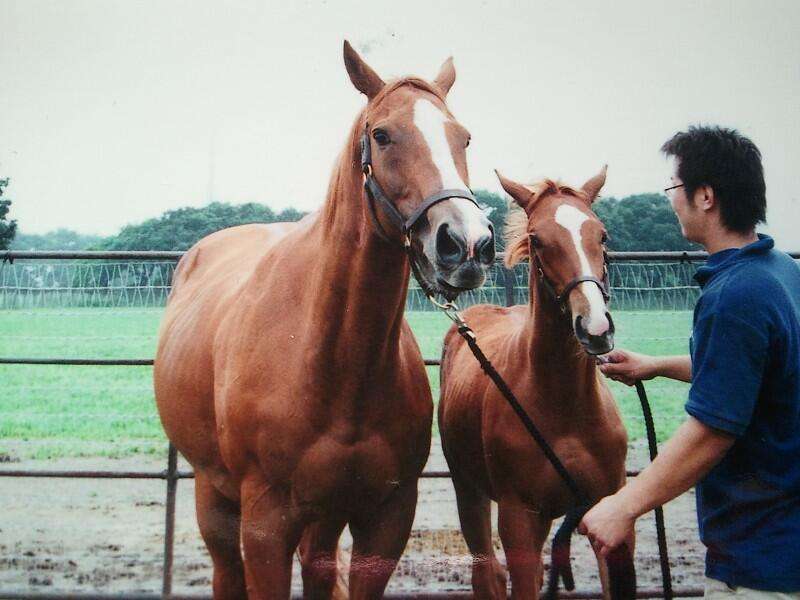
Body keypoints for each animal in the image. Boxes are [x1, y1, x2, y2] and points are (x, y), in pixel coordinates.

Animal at [154, 42, 495, 600]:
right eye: (382, 135)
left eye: (463, 136)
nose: (466, 243)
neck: (330, 358)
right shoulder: (265, 524)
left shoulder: (386, 516)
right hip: (216, 497)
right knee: (227, 571)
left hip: (323, 517)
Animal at [438, 168, 635, 599]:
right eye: (538, 239)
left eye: (602, 235)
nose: (596, 328)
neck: (566, 408)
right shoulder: (518, 519)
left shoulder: (611, 514)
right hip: (469, 492)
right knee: (486, 574)